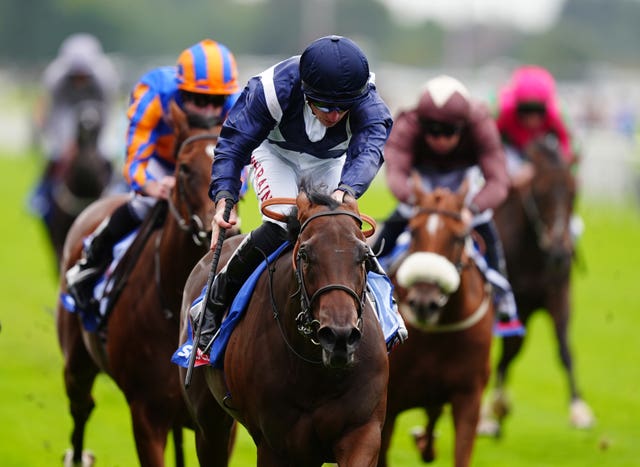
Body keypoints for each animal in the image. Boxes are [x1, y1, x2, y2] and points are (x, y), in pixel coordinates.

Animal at [55, 103, 235, 467]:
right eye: (183, 168)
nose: (215, 227)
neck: (176, 299)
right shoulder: (147, 413)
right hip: (76, 364)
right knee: (82, 408)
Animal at [180, 187, 390, 467]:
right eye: (305, 254)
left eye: (365, 256)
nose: (339, 337)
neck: (316, 372)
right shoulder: (276, 445)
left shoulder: (362, 431)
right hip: (208, 423)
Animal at [378, 179, 492, 467]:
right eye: (413, 231)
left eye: (459, 237)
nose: (423, 302)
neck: (437, 333)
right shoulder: (389, 402)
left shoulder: (469, 396)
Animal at [482, 138, 596, 436]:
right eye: (542, 192)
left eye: (573, 193)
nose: (559, 252)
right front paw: (487, 416)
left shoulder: (558, 293)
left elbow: (564, 348)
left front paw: (579, 409)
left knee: (510, 354)